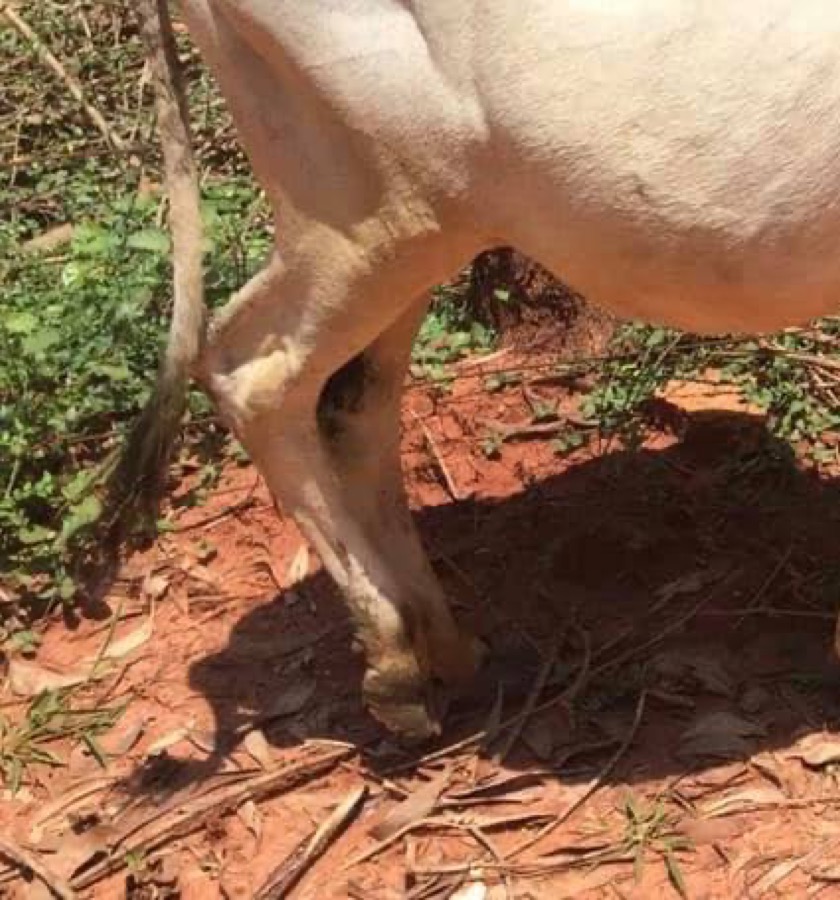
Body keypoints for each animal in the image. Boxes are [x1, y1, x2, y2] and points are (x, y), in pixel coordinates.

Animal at [123, 0, 840, 742]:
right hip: (365, 223)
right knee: (253, 377)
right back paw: (396, 661)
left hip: (415, 233)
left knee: (353, 411)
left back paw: (441, 645)